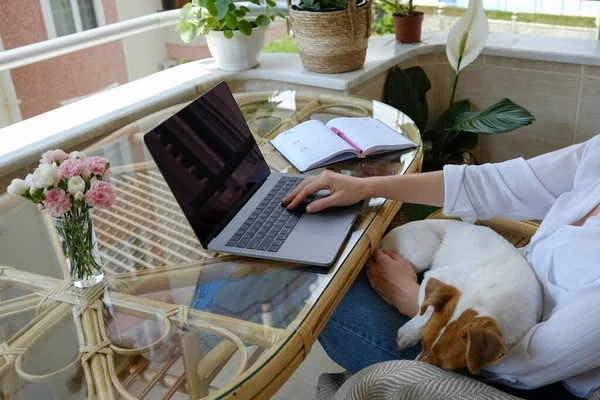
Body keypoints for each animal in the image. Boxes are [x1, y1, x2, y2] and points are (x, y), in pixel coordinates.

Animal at [380, 219, 544, 376]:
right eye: (423, 343)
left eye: (443, 366)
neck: (488, 296)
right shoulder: (435, 276)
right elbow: (425, 310)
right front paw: (409, 334)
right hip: (422, 255)